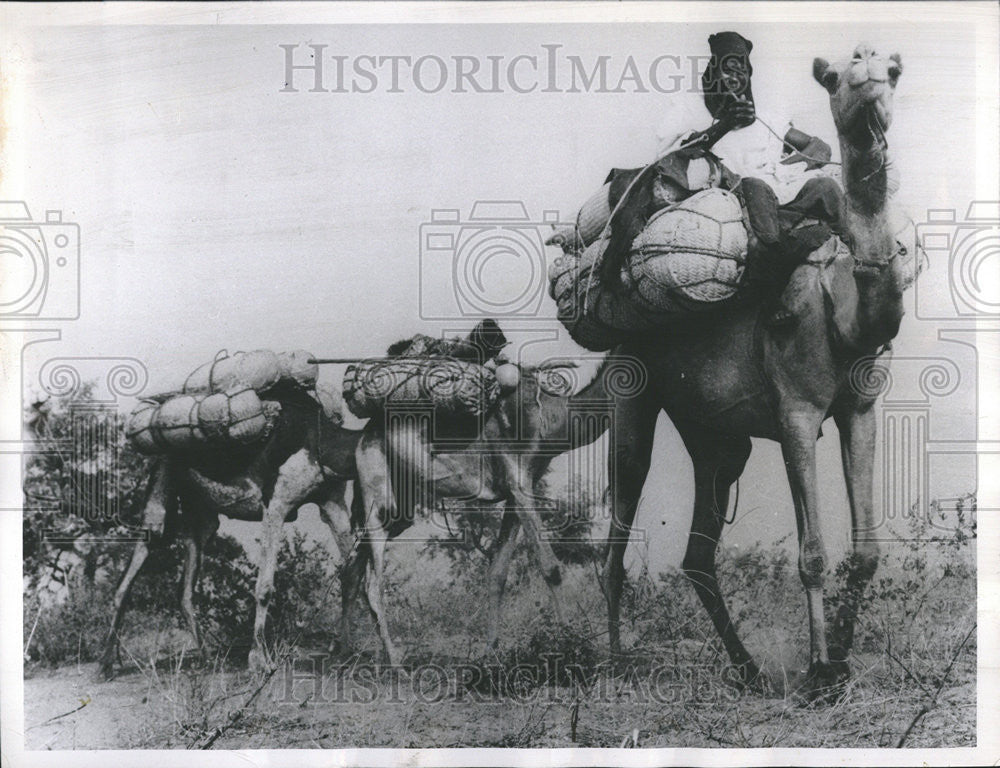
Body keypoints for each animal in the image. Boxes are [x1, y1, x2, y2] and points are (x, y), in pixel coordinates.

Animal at [96, 384, 360, 680]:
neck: (321, 440)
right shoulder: (276, 504)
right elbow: (264, 586)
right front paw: (259, 662)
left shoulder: (332, 502)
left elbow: (352, 574)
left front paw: (344, 653)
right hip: (163, 489)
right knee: (133, 570)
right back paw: (105, 665)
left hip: (201, 516)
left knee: (184, 588)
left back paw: (208, 659)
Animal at [346, 356, 624, 664]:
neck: (554, 419)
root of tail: (363, 436)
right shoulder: (518, 481)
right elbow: (551, 567)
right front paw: (572, 647)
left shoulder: (519, 491)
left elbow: (498, 572)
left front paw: (491, 653)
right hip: (377, 493)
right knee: (372, 583)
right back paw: (396, 663)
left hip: (399, 506)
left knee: (352, 570)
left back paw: (344, 648)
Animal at [596, 43, 912, 696]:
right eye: (836, 77)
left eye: (893, 72)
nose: (869, 67)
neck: (843, 311)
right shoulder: (796, 412)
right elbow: (812, 553)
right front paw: (818, 672)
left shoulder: (860, 408)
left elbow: (867, 550)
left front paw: (842, 659)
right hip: (630, 387)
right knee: (618, 527)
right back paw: (615, 665)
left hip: (718, 438)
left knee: (698, 552)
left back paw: (748, 670)